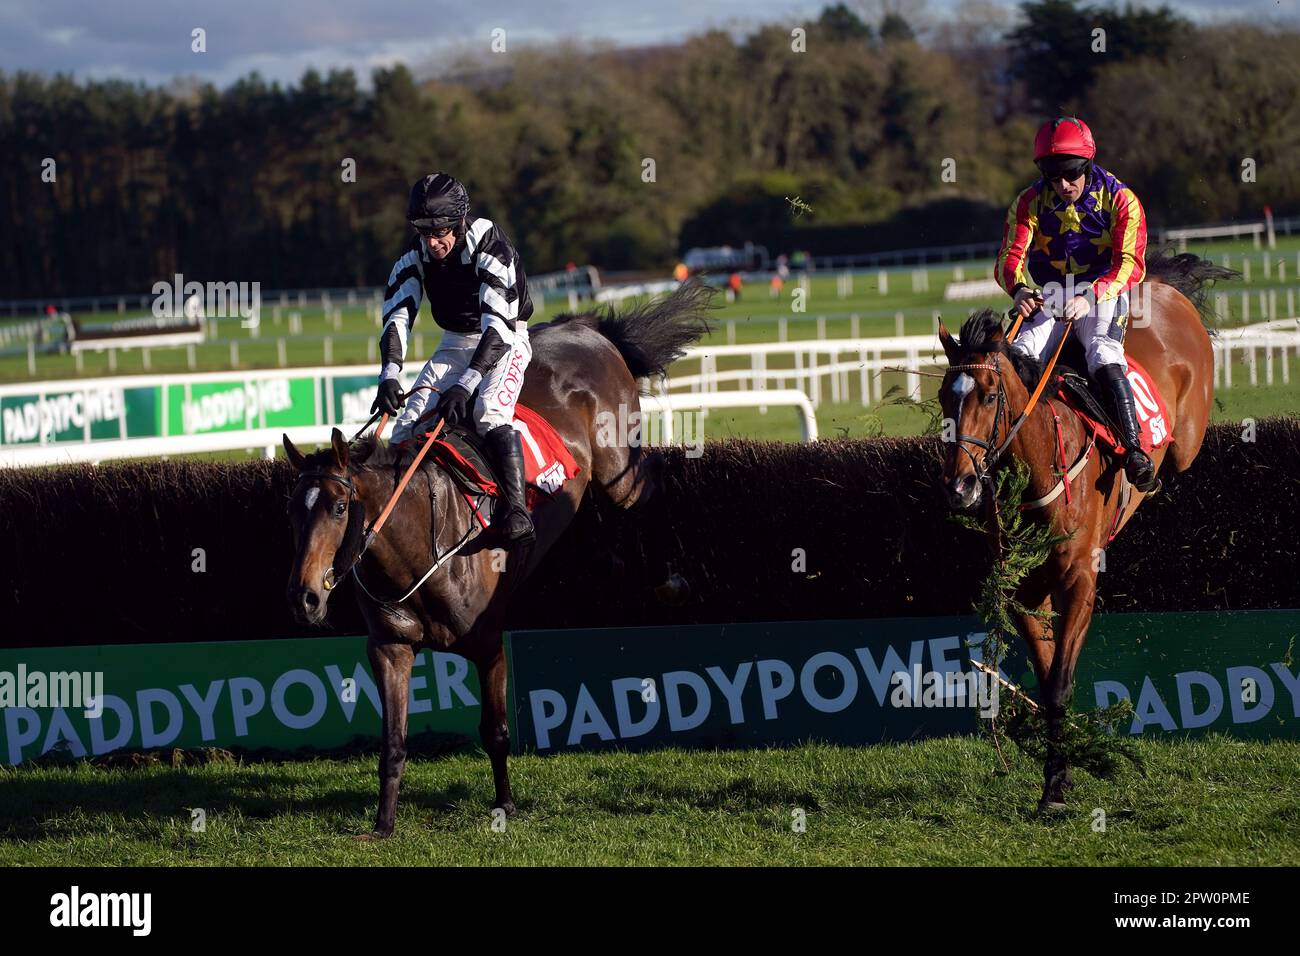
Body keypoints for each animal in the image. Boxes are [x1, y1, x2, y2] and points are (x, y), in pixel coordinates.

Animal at [279, 282, 717, 837]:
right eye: (293, 511)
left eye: (338, 508)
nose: (304, 598)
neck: (421, 548)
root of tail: (583, 327)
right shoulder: (390, 649)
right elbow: (393, 744)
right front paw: (383, 824)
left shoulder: (488, 641)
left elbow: (496, 731)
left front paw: (505, 804)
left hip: (617, 461)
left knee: (651, 477)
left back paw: (668, 579)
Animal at [935, 251, 1227, 811]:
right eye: (943, 396)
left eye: (990, 395)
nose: (960, 486)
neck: (1044, 468)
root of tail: (1162, 286)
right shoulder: (1026, 591)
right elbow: (1047, 677)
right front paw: (1058, 777)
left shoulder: (1079, 580)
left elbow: (1060, 684)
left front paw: (1057, 781)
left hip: (1185, 436)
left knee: (1159, 425)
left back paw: (1144, 463)